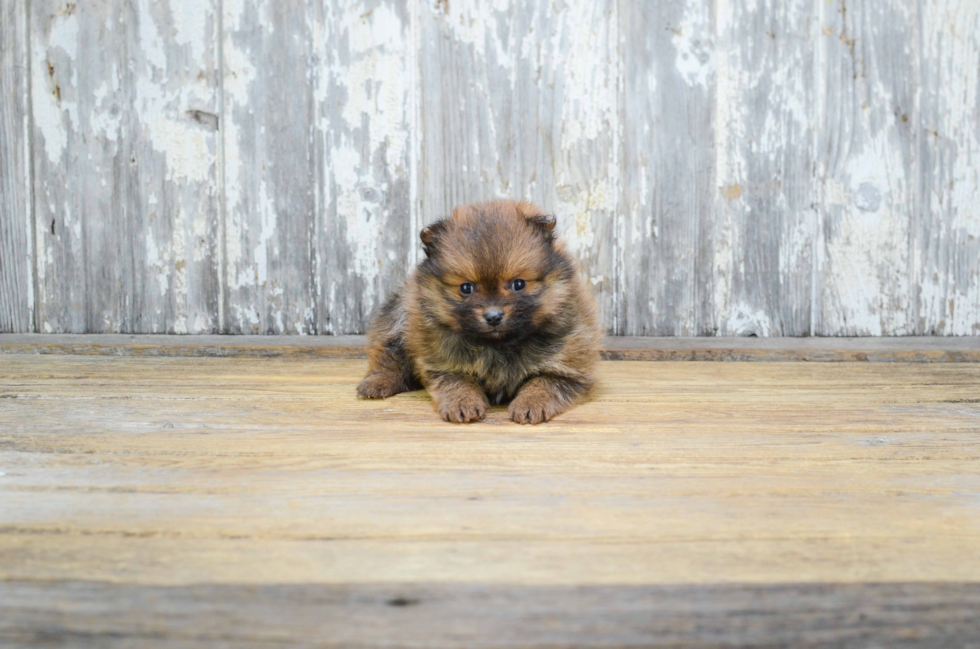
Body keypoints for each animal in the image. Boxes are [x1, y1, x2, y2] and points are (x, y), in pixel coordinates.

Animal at [358, 197, 596, 422]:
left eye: (518, 284)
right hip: (399, 318)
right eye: (466, 288)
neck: (498, 346)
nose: (493, 317)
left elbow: (543, 382)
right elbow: (458, 382)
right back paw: (377, 382)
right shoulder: (442, 362)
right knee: (389, 356)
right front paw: (463, 404)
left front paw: (530, 404)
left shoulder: (568, 367)